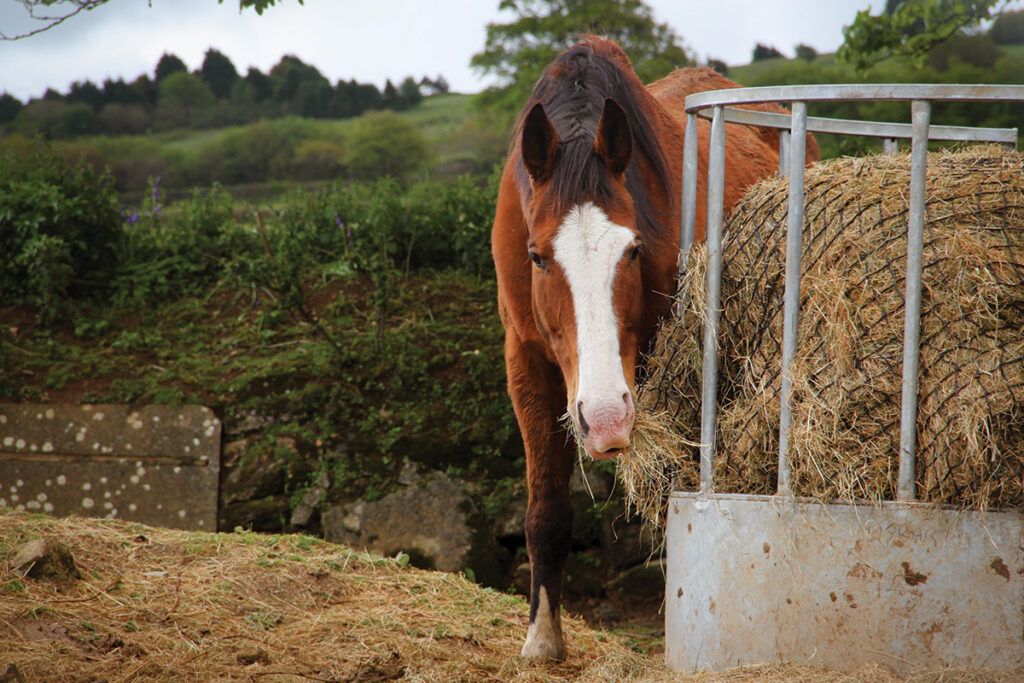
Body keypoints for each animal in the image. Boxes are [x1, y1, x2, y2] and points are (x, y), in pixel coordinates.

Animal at [490, 37, 818, 660]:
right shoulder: (526, 361)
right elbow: (546, 509)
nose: (605, 420)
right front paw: (543, 639)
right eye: (537, 256)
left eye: (634, 250)